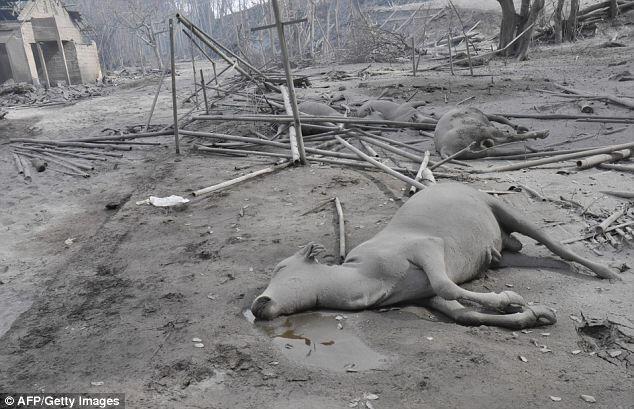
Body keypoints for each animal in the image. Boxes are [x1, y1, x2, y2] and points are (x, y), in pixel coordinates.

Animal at [252, 182, 616, 328]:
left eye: (280, 267)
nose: (258, 305)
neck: (361, 276)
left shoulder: (427, 248)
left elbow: (447, 285)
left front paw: (510, 299)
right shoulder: (426, 297)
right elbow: (463, 314)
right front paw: (533, 314)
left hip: (502, 207)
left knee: (555, 244)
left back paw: (605, 270)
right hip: (501, 246)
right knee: (513, 250)